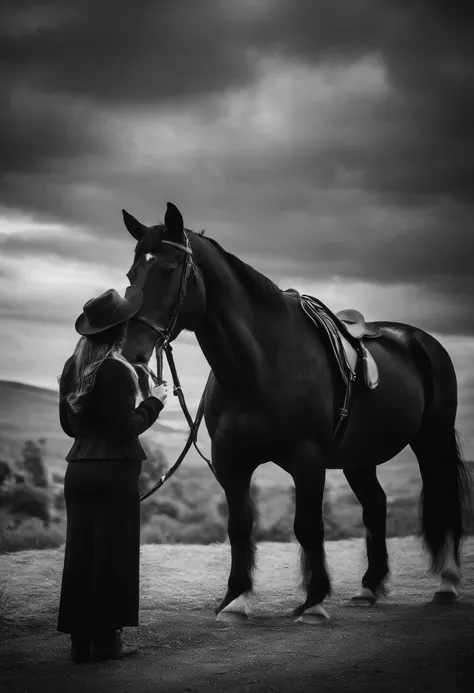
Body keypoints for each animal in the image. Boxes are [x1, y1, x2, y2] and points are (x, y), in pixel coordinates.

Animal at [121, 200, 470, 620]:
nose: (131, 350)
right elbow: (239, 525)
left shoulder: (307, 460)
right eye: (132, 273)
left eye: (168, 270)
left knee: (442, 496)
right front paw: (236, 599)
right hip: (360, 457)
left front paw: (315, 600)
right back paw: (369, 587)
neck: (262, 365)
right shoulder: (230, 461)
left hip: (431, 439)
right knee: (376, 505)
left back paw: (447, 582)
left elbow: (307, 526)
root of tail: (420, 340)